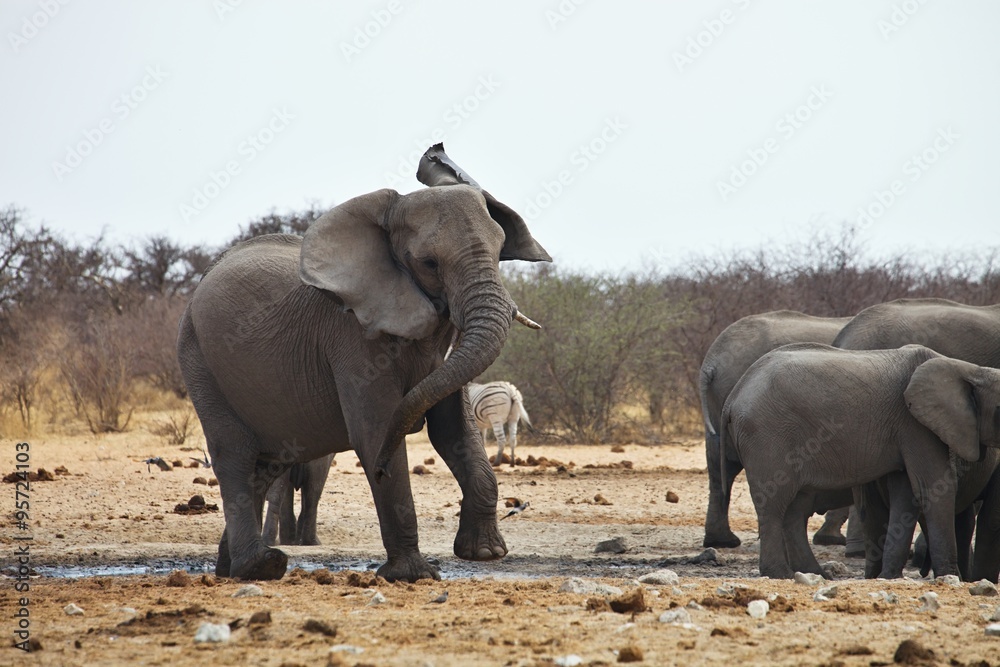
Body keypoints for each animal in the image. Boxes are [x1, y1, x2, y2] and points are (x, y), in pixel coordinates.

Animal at [177, 144, 551, 582]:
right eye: (429, 263)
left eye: (499, 250)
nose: (383, 467)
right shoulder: (351, 336)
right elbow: (372, 432)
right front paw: (413, 575)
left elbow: (455, 430)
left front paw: (485, 553)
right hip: (198, 359)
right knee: (235, 456)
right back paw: (260, 566)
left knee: (266, 465)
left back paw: (231, 569)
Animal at [720, 343, 1000, 580]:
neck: (971, 369)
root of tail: (733, 396)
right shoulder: (915, 425)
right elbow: (934, 487)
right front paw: (951, 578)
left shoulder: (905, 430)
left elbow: (906, 493)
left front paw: (889, 577)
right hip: (768, 436)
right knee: (774, 503)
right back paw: (781, 575)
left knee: (792, 508)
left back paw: (816, 574)